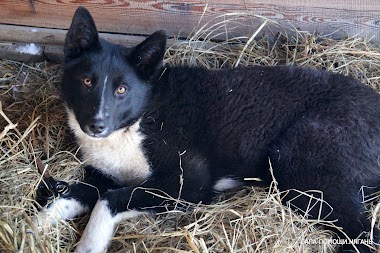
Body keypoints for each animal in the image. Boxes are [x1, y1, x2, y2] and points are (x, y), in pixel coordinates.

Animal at [34, 6, 378, 253]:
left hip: (300, 165)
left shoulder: (189, 183)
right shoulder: (108, 175)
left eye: (122, 89)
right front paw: (34, 226)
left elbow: (108, 201)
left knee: (363, 235)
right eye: (87, 81)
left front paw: (88, 244)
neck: (139, 119)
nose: (96, 125)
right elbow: (74, 195)